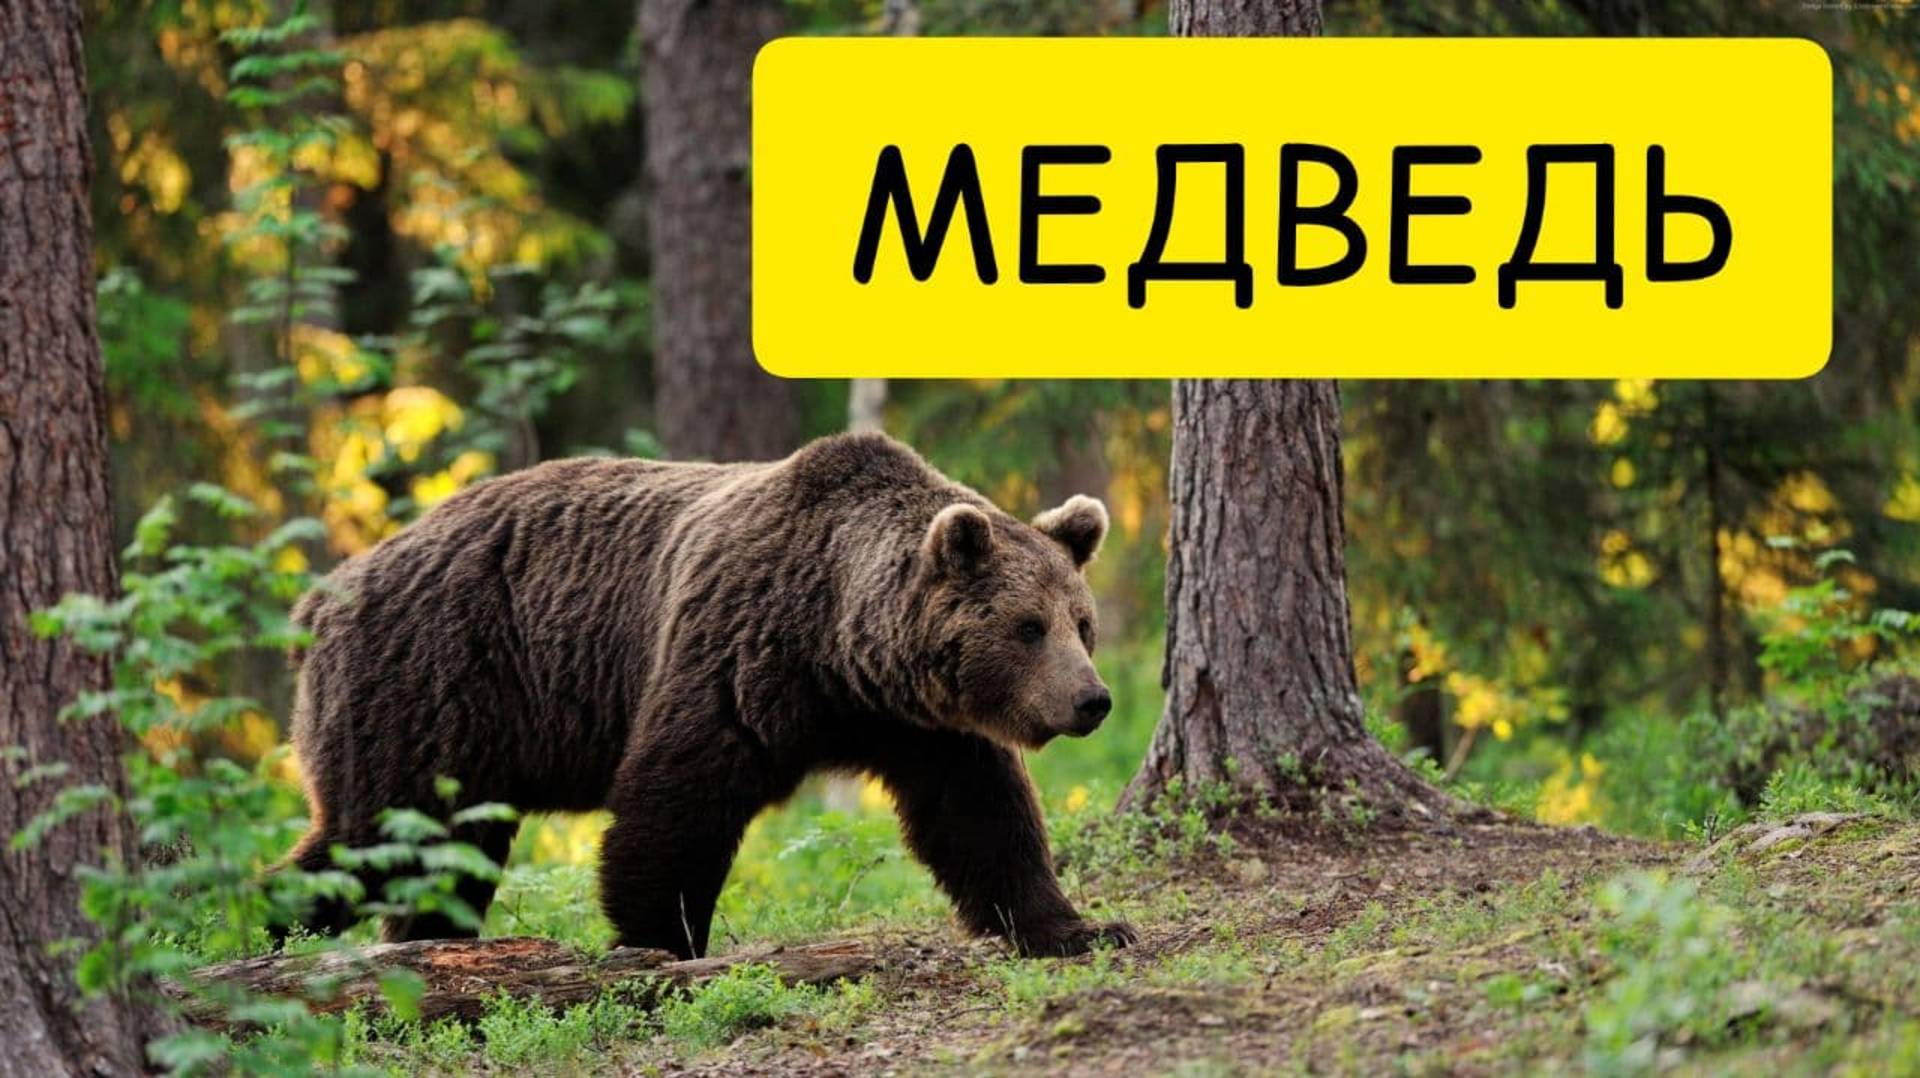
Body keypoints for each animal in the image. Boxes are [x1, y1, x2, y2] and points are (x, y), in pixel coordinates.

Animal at [283, 431, 1134, 958]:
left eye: (1081, 623)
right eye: (1028, 627)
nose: (1092, 700)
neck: (840, 644)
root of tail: (325, 595)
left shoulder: (922, 724)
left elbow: (981, 818)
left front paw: (1078, 928)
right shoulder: (737, 651)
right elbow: (676, 801)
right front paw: (661, 940)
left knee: (439, 856)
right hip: (431, 684)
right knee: (376, 836)